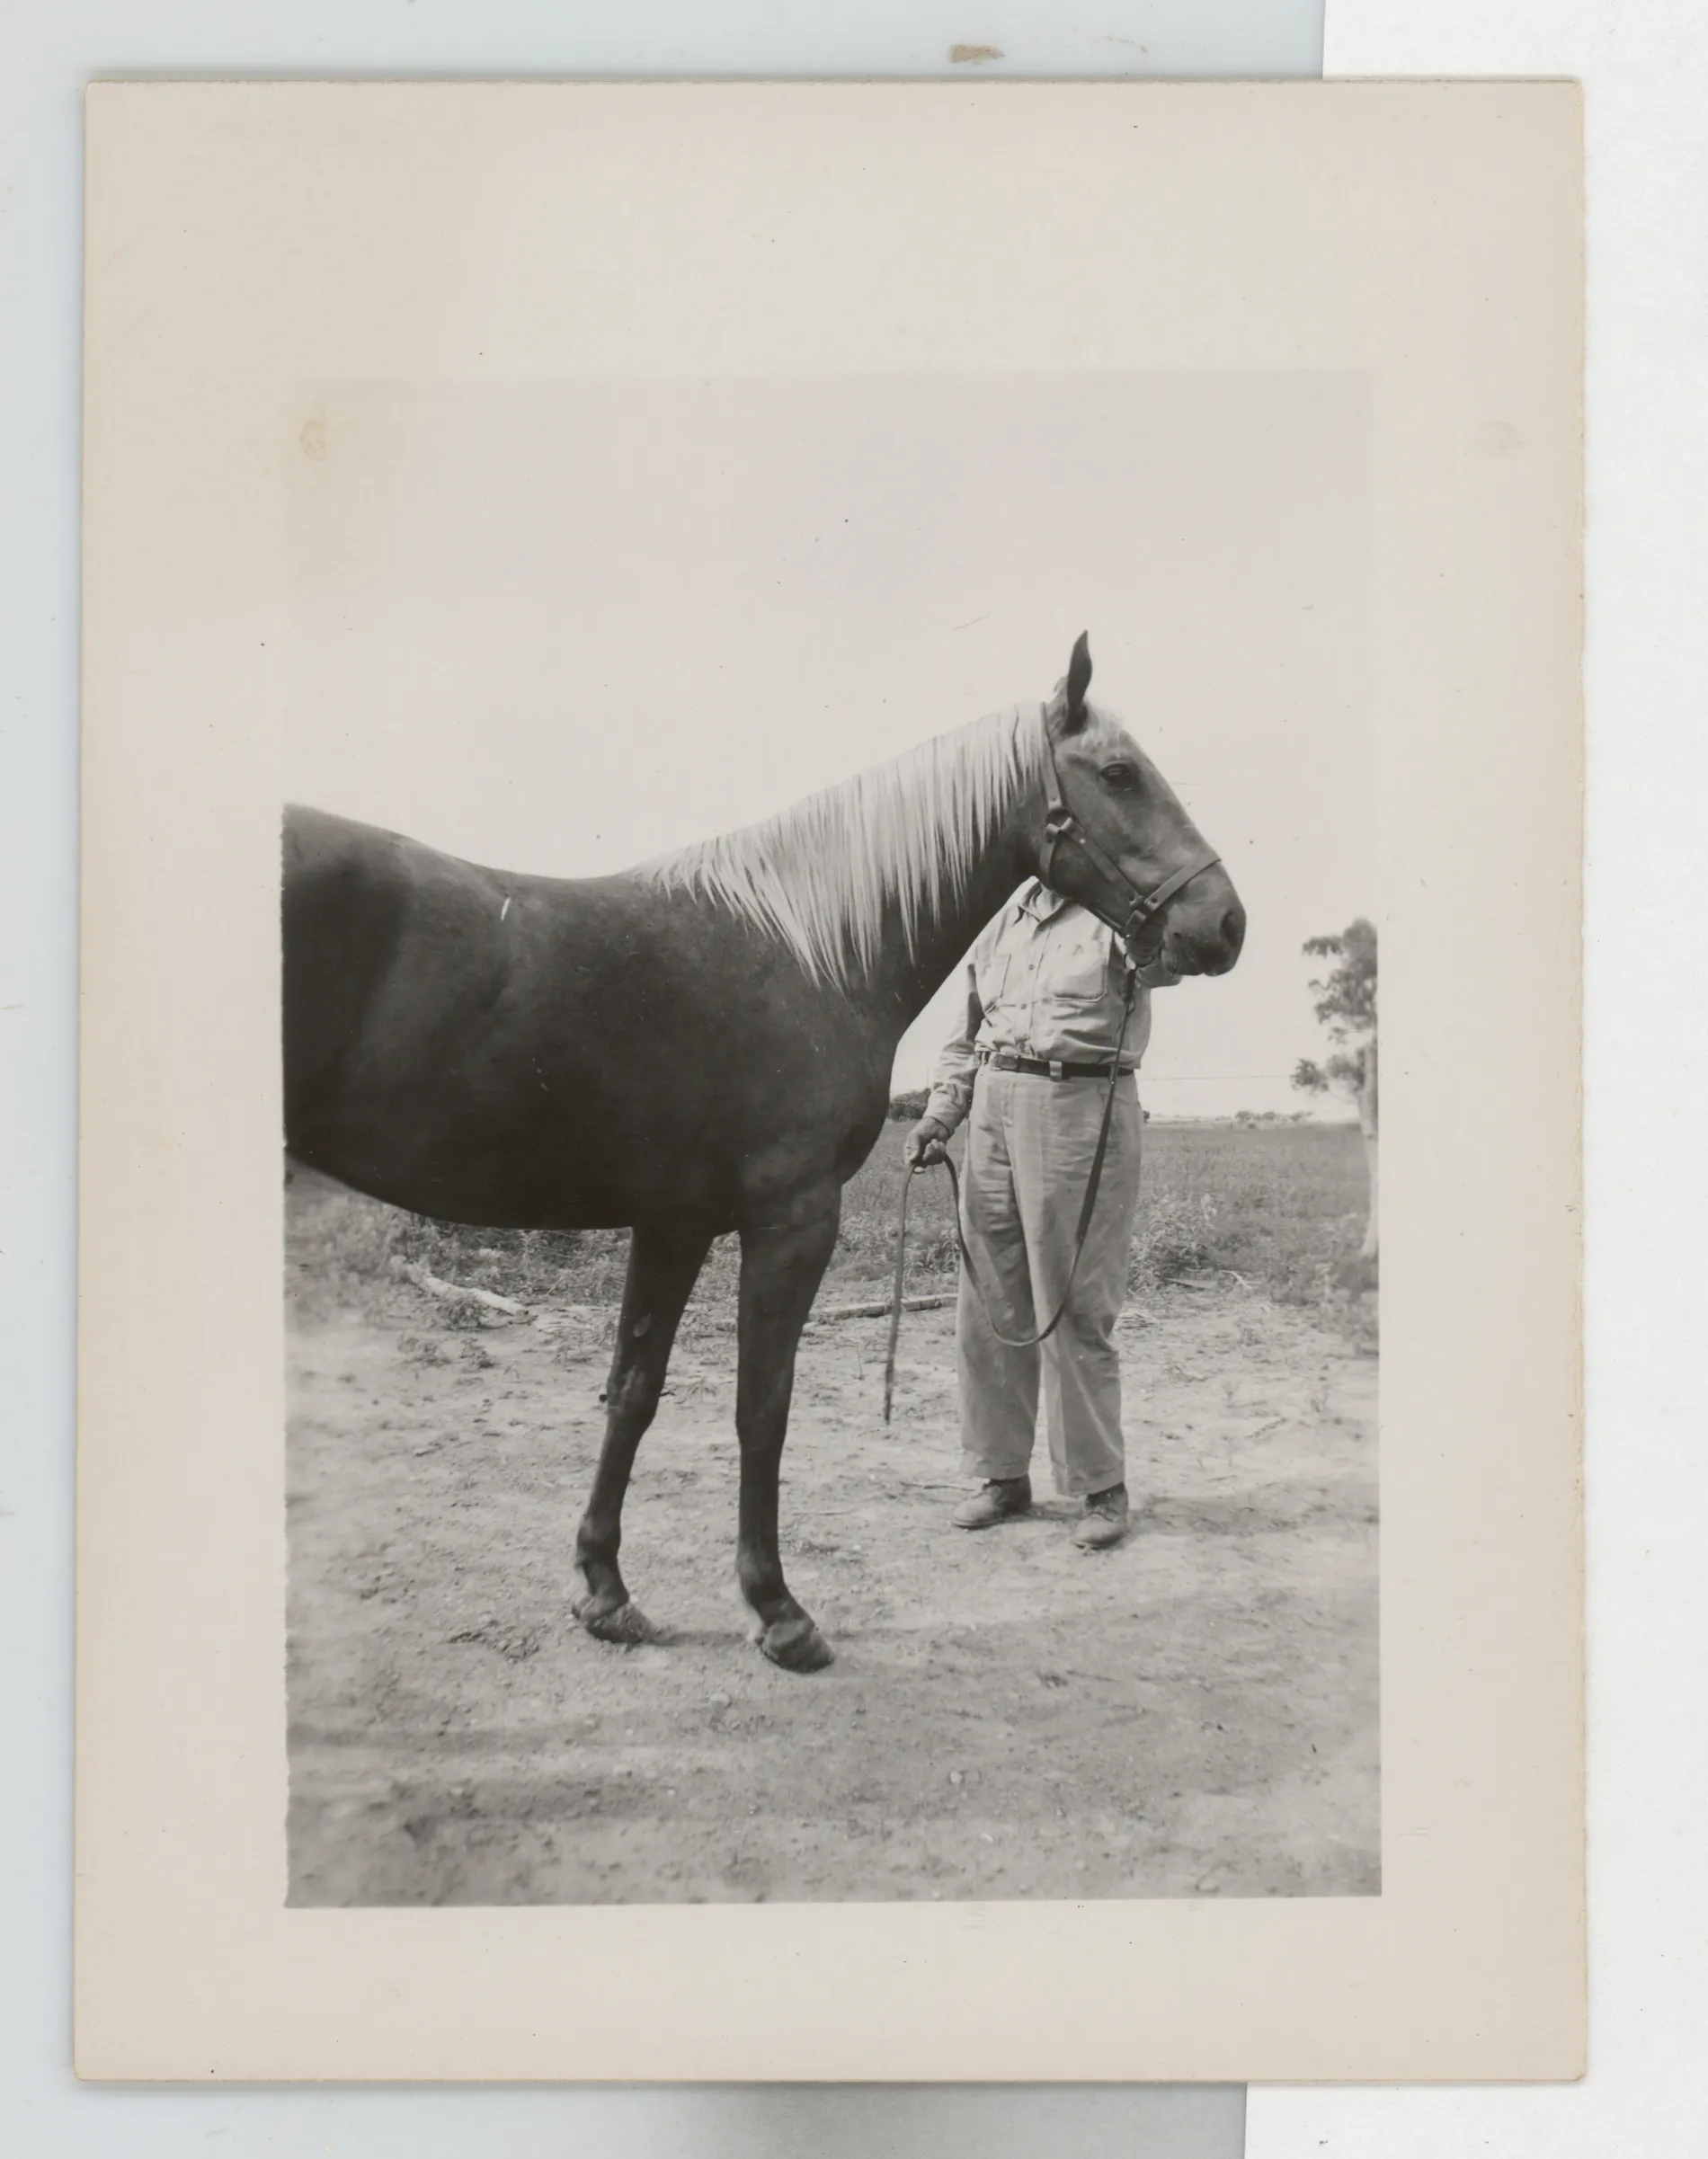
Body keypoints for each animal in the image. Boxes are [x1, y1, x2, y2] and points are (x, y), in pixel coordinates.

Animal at [282, 635, 1245, 1673]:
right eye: (1120, 773)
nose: (1225, 923)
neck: (812, 948)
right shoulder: (790, 1223)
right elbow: (761, 1407)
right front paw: (779, 1612)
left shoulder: (672, 1223)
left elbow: (633, 1392)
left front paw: (605, 1593)